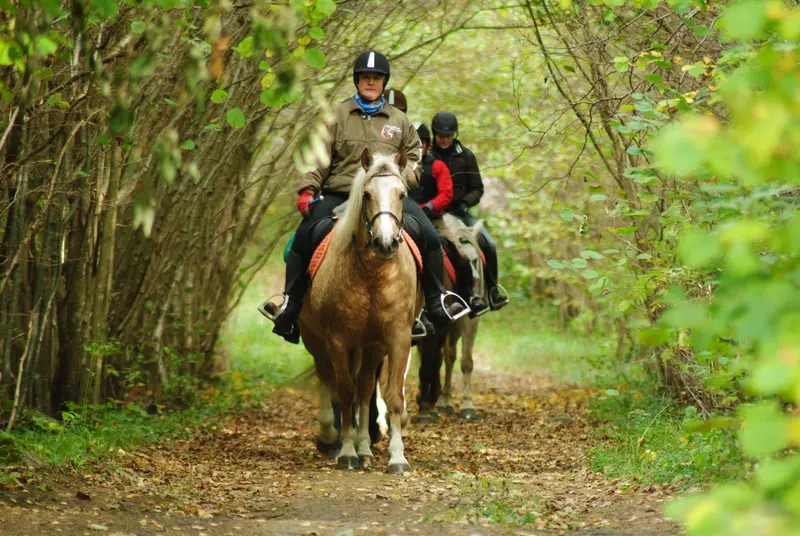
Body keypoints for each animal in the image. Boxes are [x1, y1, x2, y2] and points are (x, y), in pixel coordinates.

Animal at [299, 148, 422, 473]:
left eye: (403, 194)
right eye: (366, 195)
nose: (385, 243)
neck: (372, 273)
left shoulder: (394, 337)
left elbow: (390, 395)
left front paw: (397, 457)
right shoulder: (337, 338)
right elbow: (344, 391)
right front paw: (346, 453)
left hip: (369, 347)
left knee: (365, 388)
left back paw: (365, 447)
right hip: (314, 339)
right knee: (328, 380)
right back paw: (330, 437)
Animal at [415, 214, 485, 421]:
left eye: (475, 259)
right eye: (464, 261)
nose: (474, 283)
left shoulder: (469, 320)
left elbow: (465, 361)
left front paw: (467, 406)